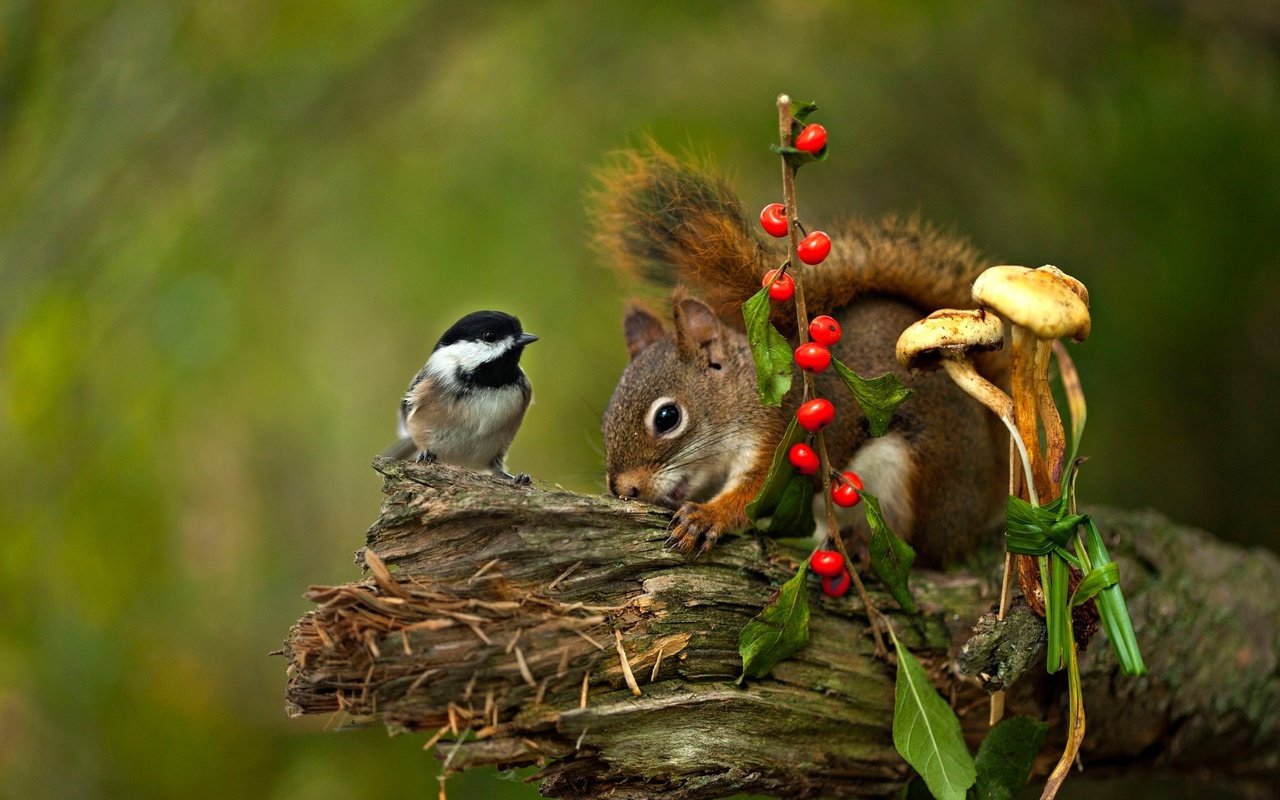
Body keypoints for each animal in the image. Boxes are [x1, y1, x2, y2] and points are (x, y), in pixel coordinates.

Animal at [593, 146, 1003, 565]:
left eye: (667, 417)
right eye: (606, 418)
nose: (623, 489)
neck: (744, 396)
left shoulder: (783, 440)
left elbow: (753, 499)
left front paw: (707, 517)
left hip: (916, 479)